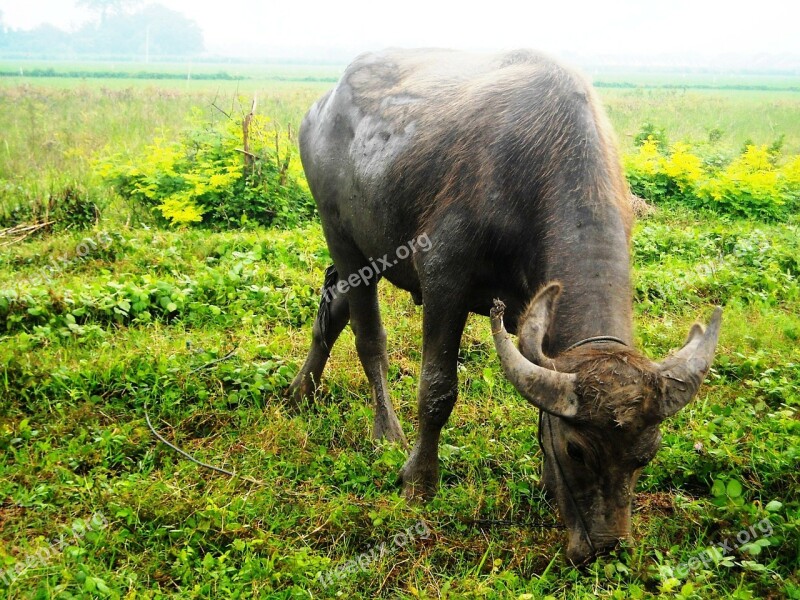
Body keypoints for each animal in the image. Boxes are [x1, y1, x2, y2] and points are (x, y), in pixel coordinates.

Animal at [290, 49, 720, 564]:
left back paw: (300, 391)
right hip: (345, 240)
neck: (539, 162)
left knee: (333, 311)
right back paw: (385, 431)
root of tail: (322, 106)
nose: (606, 547)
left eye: (647, 455)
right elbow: (437, 389)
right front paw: (419, 480)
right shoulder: (444, 278)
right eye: (577, 450)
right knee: (368, 336)